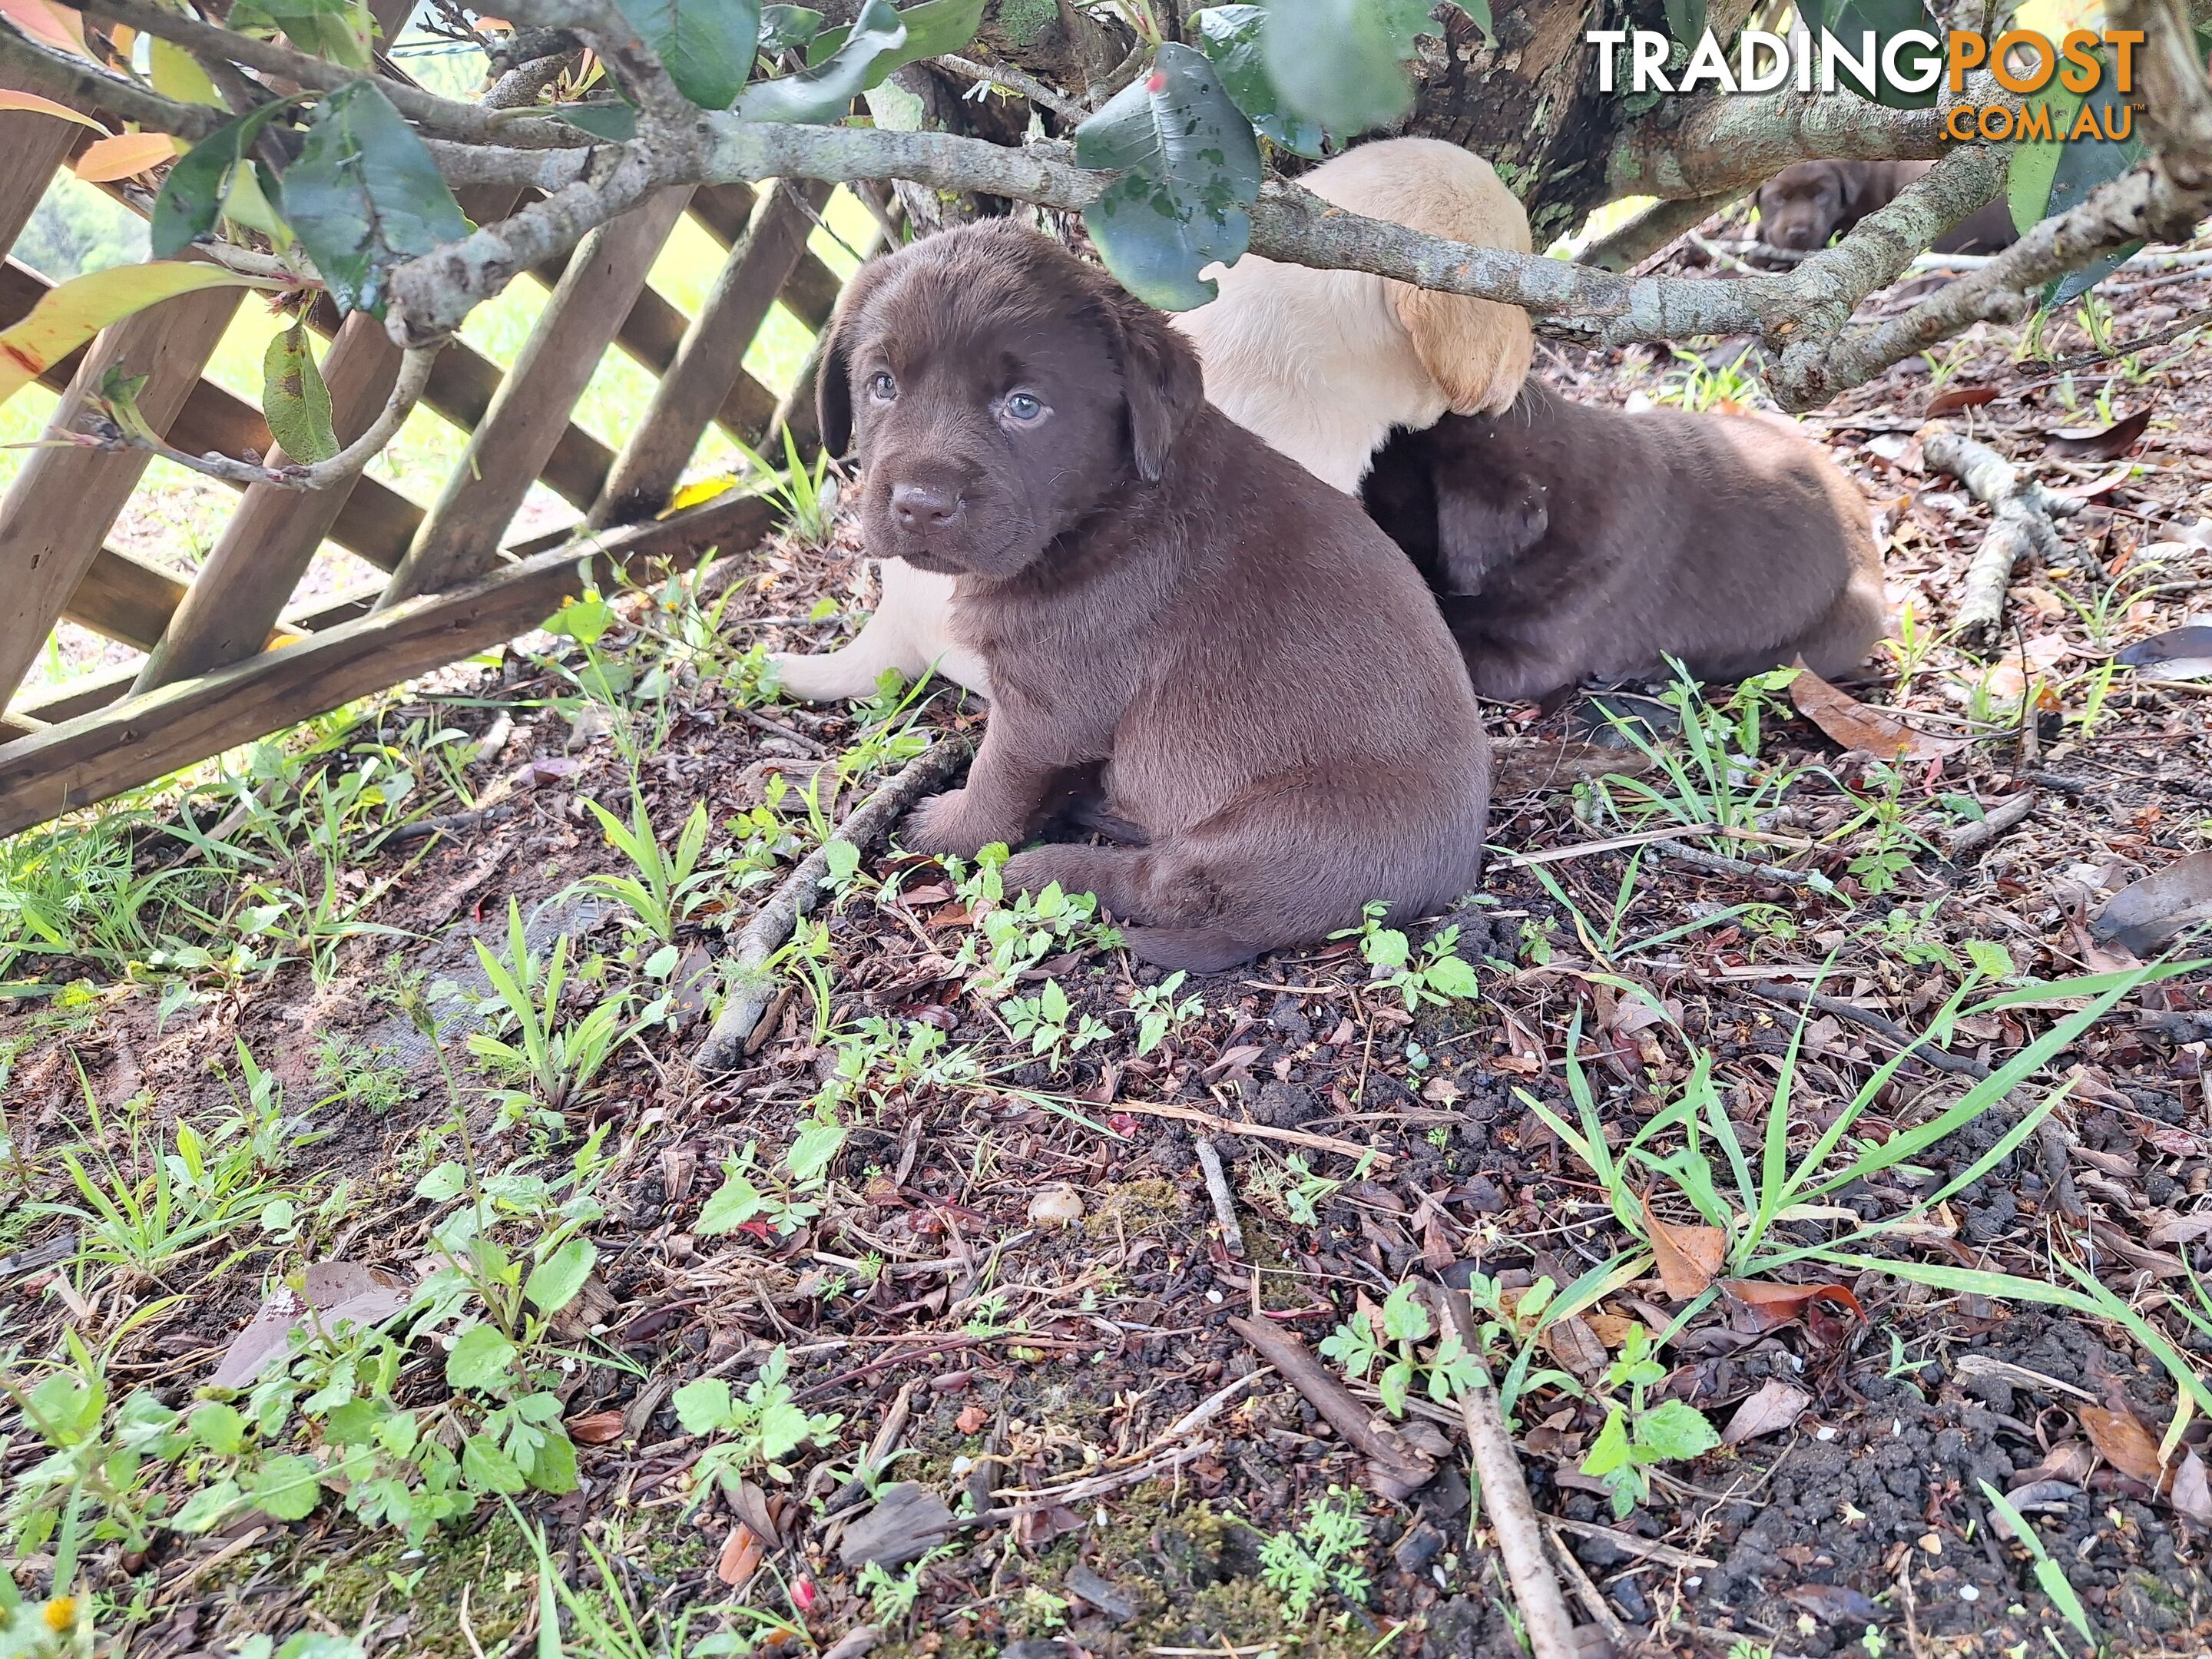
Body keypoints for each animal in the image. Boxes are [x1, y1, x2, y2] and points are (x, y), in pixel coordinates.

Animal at [823, 221, 1495, 973]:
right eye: (882, 385)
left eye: (1025, 406)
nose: (920, 505)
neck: (1107, 511)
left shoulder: (1044, 708)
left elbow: (996, 781)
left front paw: (949, 828)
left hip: (1280, 832)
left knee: (1160, 884)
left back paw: (1052, 867)